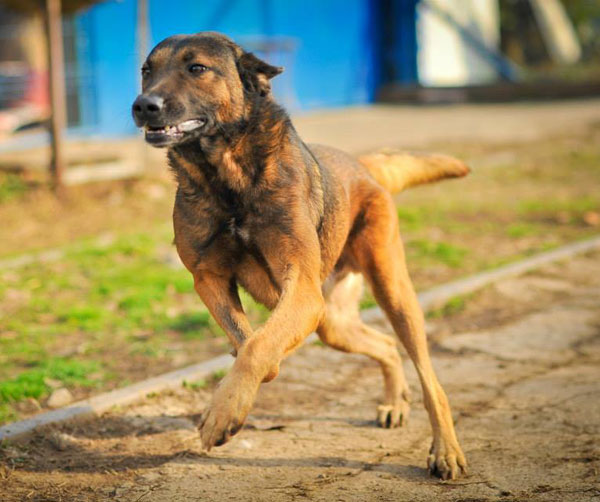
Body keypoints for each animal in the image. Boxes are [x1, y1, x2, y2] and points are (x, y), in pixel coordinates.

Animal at [131, 31, 468, 478]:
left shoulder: (302, 291)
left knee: (429, 377)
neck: (229, 178)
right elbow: (249, 339)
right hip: (332, 322)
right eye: (146, 70)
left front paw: (223, 413)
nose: (143, 105)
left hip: (392, 292)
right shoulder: (210, 280)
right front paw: (243, 385)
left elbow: (257, 346)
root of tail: (363, 166)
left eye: (197, 68)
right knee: (384, 345)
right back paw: (395, 402)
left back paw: (445, 449)